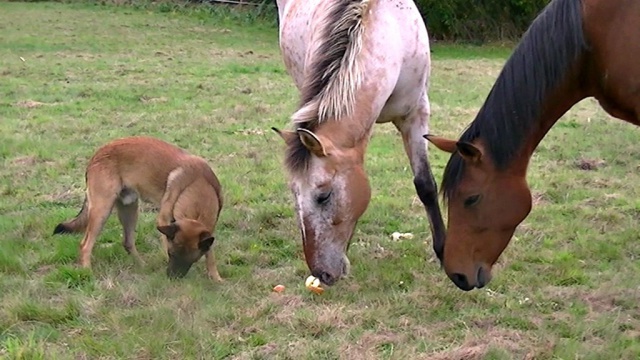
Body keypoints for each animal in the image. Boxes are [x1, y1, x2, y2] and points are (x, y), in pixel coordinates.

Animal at [52, 136, 225, 280]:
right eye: (172, 254)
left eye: (191, 259)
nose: (171, 277)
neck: (197, 185)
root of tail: (98, 153)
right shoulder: (164, 220)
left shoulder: (208, 229)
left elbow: (210, 254)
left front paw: (216, 278)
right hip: (102, 211)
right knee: (85, 245)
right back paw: (87, 271)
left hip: (129, 209)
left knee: (127, 242)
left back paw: (142, 265)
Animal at [274, 0, 444, 286]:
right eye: (293, 194)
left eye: (323, 196)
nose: (321, 273)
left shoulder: (416, 114)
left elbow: (425, 185)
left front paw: (444, 254)